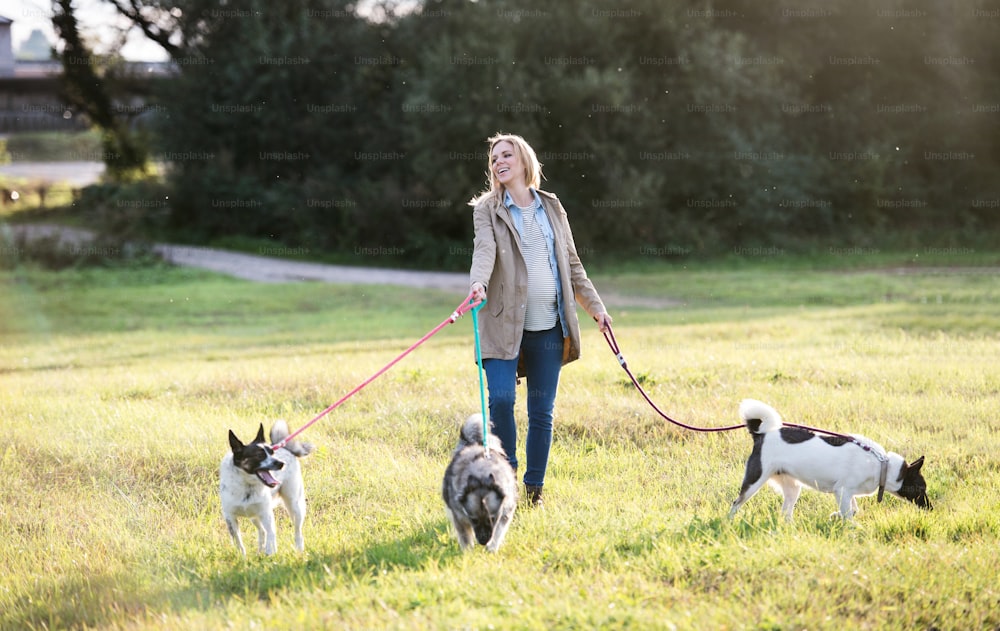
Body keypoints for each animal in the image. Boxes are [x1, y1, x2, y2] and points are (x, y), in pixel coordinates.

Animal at [221, 424, 314, 552]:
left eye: (272, 453)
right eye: (259, 455)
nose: (281, 463)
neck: (247, 485)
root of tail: (285, 448)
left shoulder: (266, 514)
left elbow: (271, 536)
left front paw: (270, 553)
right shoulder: (230, 517)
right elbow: (238, 542)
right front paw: (242, 556)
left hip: (294, 506)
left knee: (297, 532)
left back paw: (299, 550)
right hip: (254, 516)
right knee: (262, 531)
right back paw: (260, 551)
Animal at [446, 414, 524, 552]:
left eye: (492, 519)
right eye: (474, 520)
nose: (483, 541)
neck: (481, 476)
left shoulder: (506, 511)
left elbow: (498, 531)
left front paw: (492, 547)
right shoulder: (458, 516)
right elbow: (465, 535)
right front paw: (468, 552)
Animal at [728, 402, 928, 520]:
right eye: (921, 489)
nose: (930, 508)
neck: (882, 465)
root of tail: (761, 434)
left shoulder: (846, 492)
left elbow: (853, 509)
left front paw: (835, 515)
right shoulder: (842, 491)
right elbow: (849, 515)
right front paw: (852, 528)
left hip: (792, 487)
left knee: (785, 512)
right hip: (755, 480)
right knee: (736, 503)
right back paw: (729, 522)